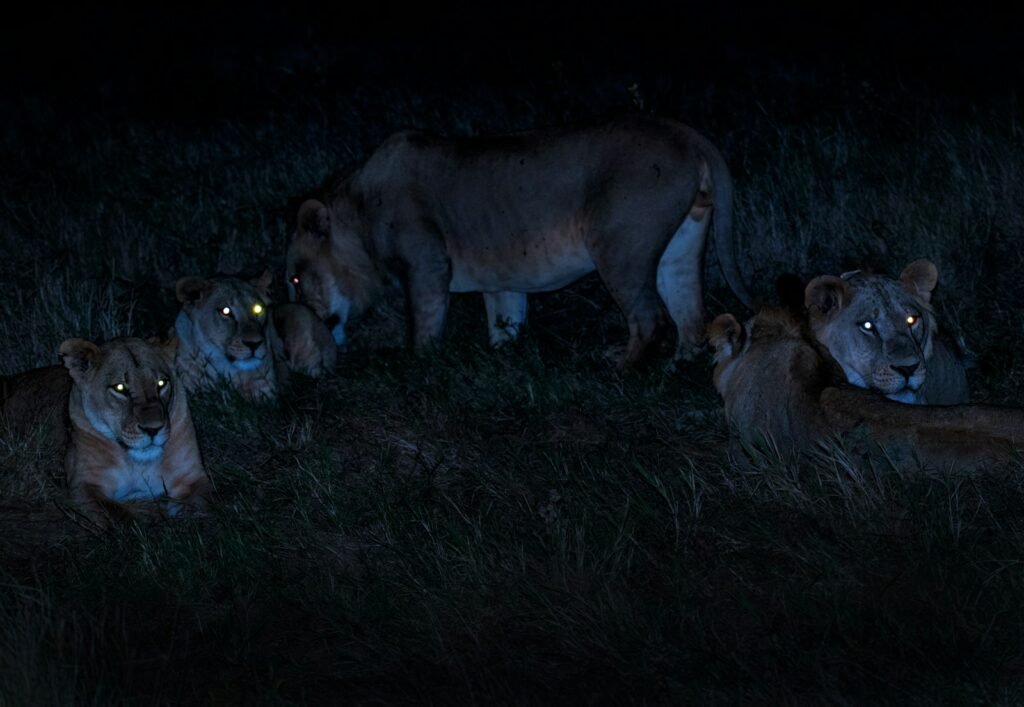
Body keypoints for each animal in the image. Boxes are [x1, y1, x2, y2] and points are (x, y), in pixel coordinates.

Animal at [1, 337, 210, 524]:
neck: (138, 461)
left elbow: (201, 503)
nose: (153, 429)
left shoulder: (193, 476)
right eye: (120, 388)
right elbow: (117, 516)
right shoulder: (84, 485)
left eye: (161, 383)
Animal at [285, 115, 752, 366]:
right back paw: (676, 369)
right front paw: (502, 358)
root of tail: (687, 133)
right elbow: (504, 322)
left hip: (619, 246)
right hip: (682, 244)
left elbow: (424, 324)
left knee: (649, 317)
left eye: (294, 280)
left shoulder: (427, 264)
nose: (306, 324)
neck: (360, 208)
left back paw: (619, 369)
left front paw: (421, 365)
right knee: (689, 314)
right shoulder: (500, 282)